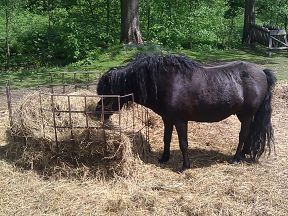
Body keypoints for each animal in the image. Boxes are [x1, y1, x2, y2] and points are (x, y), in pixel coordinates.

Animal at [95, 54, 276, 171]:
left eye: (108, 92)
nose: (97, 112)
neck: (167, 83)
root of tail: (262, 72)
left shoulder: (180, 120)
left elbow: (183, 143)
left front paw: (184, 166)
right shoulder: (167, 119)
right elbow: (167, 139)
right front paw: (164, 158)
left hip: (246, 115)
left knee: (243, 135)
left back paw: (236, 158)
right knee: (249, 134)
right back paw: (245, 153)